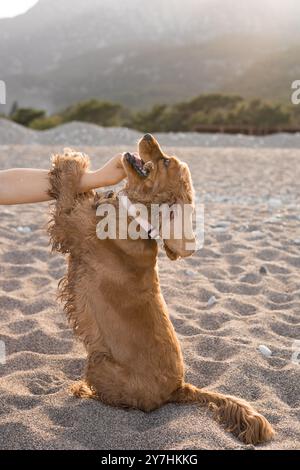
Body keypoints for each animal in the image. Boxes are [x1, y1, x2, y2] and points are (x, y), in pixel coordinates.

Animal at [47, 133, 274, 444]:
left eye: (166, 161)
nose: (146, 136)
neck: (136, 214)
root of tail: (178, 388)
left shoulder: (71, 224)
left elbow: (68, 187)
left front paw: (71, 159)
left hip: (99, 362)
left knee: (111, 398)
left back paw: (82, 390)